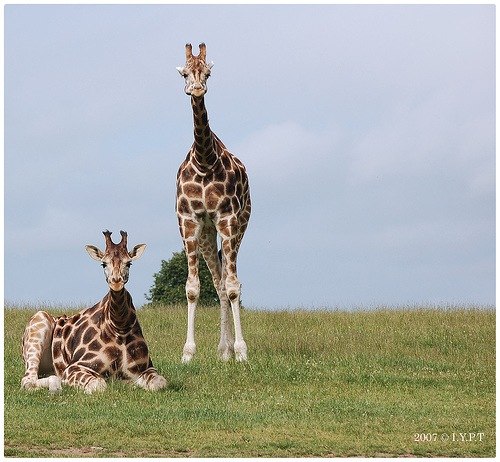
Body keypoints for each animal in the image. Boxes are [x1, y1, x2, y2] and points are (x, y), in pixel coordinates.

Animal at [21, 230, 167, 394]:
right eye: (103, 264)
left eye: (129, 263)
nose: (116, 282)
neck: (119, 326)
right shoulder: (74, 367)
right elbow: (98, 385)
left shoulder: (147, 368)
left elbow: (160, 382)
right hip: (39, 321)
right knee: (27, 380)